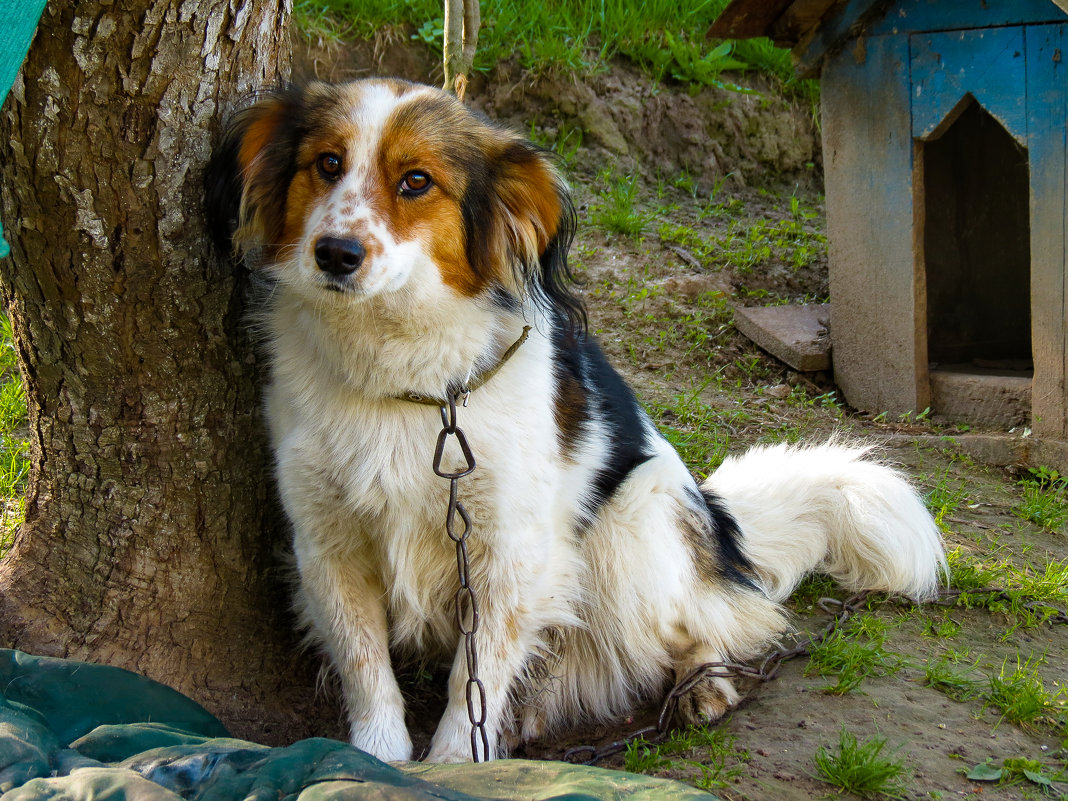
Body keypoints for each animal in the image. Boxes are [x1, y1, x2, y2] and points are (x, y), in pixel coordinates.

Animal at [203, 80, 948, 764]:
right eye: (326, 164)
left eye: (416, 181)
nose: (334, 253)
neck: (402, 379)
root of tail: (718, 517)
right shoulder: (326, 539)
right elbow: (366, 666)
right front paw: (377, 759)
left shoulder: (507, 549)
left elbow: (473, 682)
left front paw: (455, 766)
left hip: (632, 530)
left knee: (719, 621)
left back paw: (702, 685)